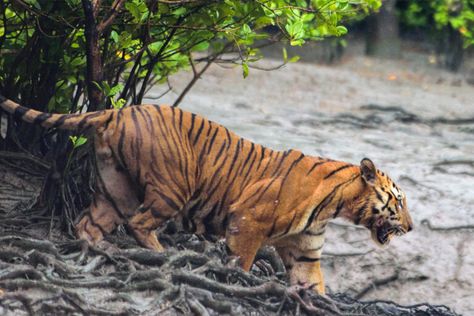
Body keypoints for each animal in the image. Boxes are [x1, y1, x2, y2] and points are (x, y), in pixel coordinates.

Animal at [0, 95, 412, 296]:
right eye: (398, 201)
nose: (409, 228)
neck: (334, 205)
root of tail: (118, 112)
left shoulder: (305, 251)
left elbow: (315, 283)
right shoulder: (248, 221)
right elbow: (242, 262)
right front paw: (237, 281)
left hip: (116, 189)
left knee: (89, 223)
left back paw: (101, 251)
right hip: (173, 186)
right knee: (140, 223)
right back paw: (162, 256)